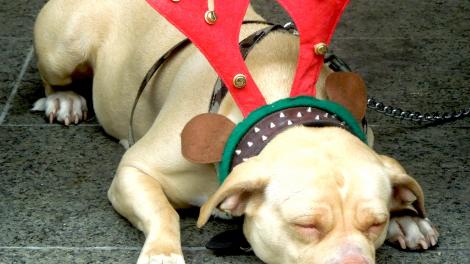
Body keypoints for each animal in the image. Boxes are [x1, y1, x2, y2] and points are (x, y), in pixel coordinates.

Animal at [34, 0, 440, 264]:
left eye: (376, 223)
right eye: (305, 225)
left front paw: (408, 217)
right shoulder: (134, 170)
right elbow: (163, 212)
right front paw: (163, 253)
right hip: (63, 48)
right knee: (53, 76)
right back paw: (64, 100)